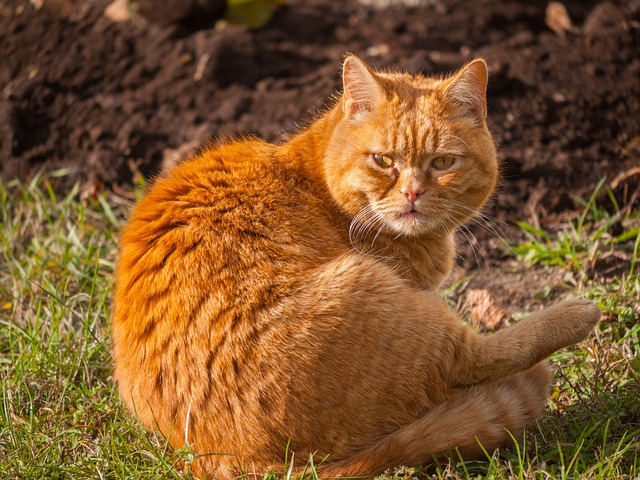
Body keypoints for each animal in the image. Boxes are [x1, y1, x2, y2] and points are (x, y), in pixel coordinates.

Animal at [112, 55, 604, 476]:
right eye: (383, 160)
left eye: (443, 162)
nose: (412, 193)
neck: (314, 183)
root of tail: (239, 460)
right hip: (377, 291)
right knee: (474, 359)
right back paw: (577, 314)